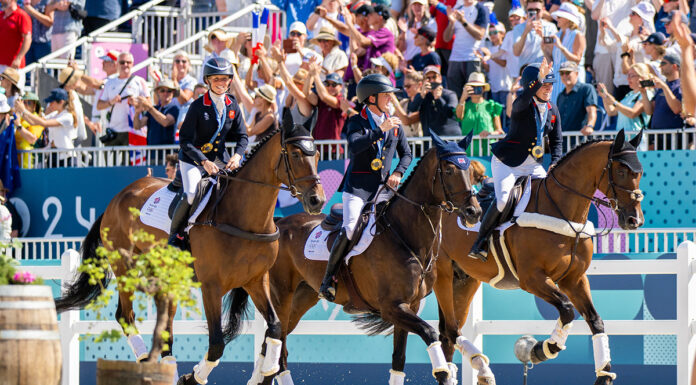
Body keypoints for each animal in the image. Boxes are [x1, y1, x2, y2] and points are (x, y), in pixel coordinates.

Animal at [54, 111, 326, 380]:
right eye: (295, 154)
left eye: (317, 155)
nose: (317, 200)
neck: (244, 218)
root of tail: (118, 198)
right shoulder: (211, 286)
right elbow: (216, 344)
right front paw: (193, 377)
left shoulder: (257, 280)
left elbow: (276, 327)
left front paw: (267, 368)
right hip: (125, 268)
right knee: (126, 315)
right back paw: (145, 361)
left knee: (163, 327)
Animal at [247, 134, 486, 384]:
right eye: (449, 170)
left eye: (470, 171)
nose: (474, 212)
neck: (405, 235)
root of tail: (279, 223)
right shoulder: (392, 307)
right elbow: (431, 334)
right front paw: (444, 372)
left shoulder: (409, 305)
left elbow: (399, 360)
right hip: (281, 296)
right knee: (276, 342)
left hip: (302, 297)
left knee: (274, 343)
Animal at [386, 129, 648, 384]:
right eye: (621, 171)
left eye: (640, 173)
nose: (634, 220)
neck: (562, 212)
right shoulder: (532, 279)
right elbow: (566, 309)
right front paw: (542, 349)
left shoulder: (574, 279)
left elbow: (595, 320)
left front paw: (604, 374)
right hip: (443, 274)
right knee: (449, 330)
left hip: (464, 281)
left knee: (449, 332)